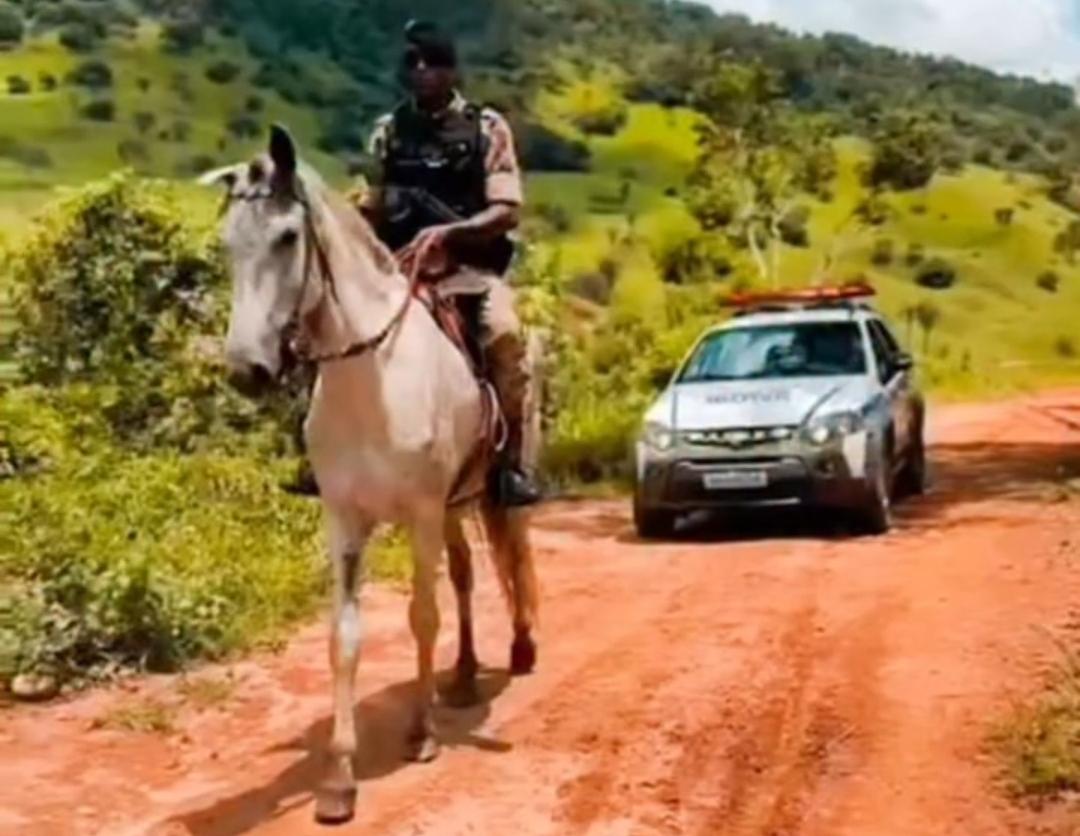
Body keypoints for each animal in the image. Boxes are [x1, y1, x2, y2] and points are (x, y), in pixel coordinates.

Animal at [201, 126, 539, 825]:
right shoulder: (346, 520)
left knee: (513, 554)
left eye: (287, 237)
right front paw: (338, 777)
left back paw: (521, 649)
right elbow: (345, 638)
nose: (247, 370)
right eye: (227, 244)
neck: (371, 376)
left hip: (488, 485)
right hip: (453, 506)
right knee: (466, 575)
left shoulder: (418, 513)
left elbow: (422, 617)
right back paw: (464, 675)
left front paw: (421, 732)